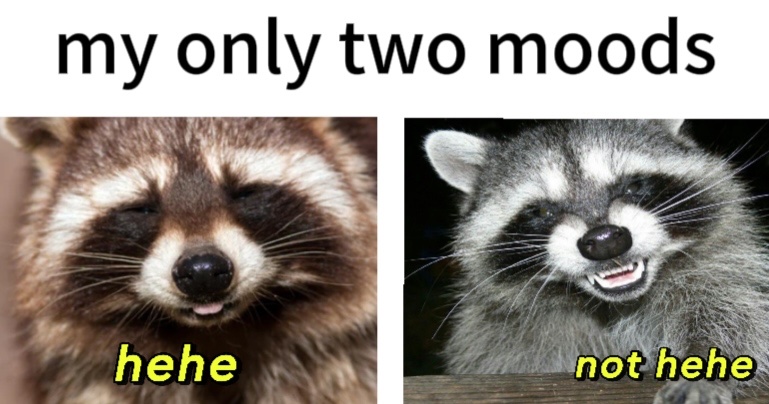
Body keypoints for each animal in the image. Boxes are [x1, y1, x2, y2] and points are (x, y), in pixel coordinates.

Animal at [424, 120, 769, 403]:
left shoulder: (722, 269)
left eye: (633, 185)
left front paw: (706, 369)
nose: (605, 241)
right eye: (541, 211)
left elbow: (736, 317)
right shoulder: (496, 336)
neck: (616, 304)